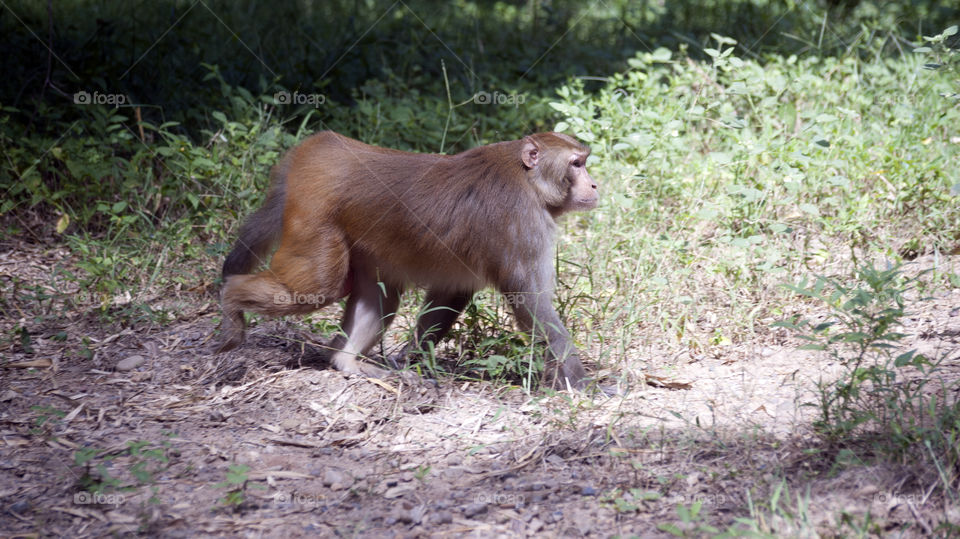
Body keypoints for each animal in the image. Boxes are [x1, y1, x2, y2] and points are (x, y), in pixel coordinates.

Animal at [214, 131, 598, 390]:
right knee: (316, 287)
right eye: (576, 164)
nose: (594, 185)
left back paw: (348, 361)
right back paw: (231, 300)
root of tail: (320, 149)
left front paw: (410, 357)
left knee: (379, 296)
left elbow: (452, 292)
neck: (528, 179)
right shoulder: (524, 222)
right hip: (314, 220)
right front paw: (581, 385)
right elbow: (531, 300)